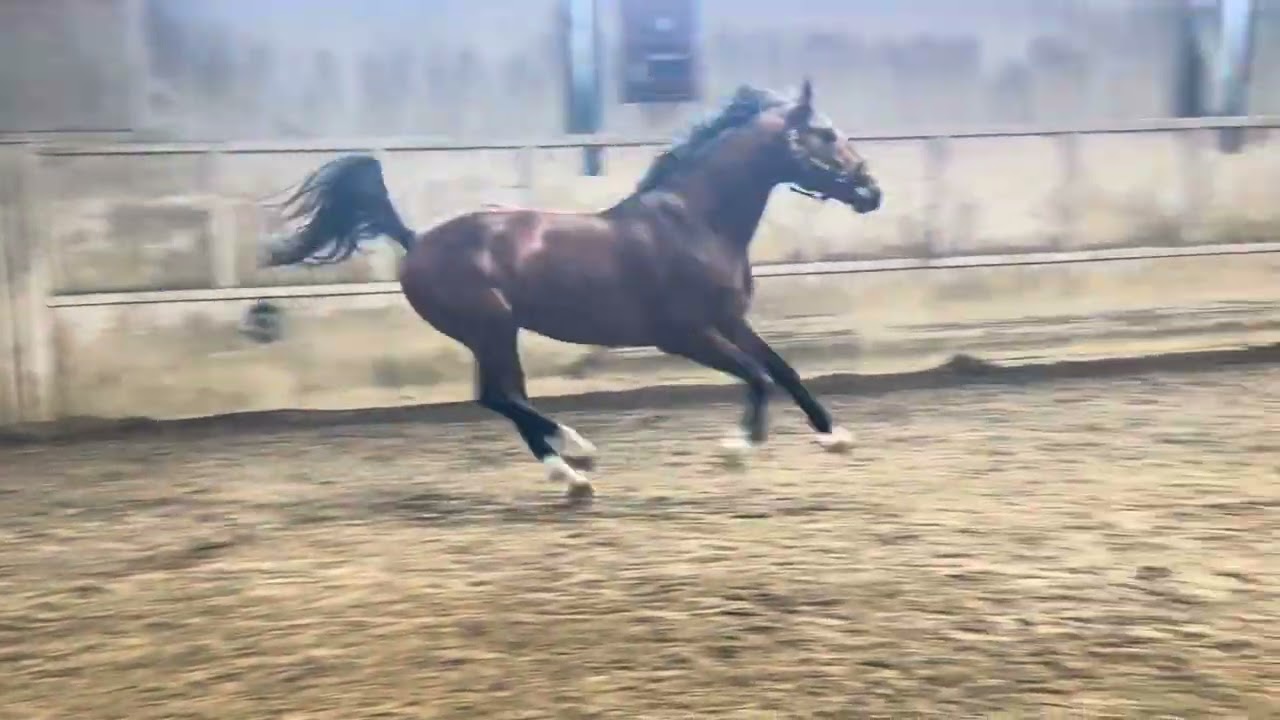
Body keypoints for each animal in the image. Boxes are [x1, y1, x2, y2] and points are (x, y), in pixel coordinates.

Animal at [261, 79, 882, 501]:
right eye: (825, 134)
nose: (871, 192)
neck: (694, 223)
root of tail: (416, 242)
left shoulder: (729, 321)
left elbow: (783, 369)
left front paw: (836, 437)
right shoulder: (683, 334)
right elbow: (756, 377)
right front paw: (737, 450)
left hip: (494, 332)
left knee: (501, 396)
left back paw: (572, 470)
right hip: (490, 328)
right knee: (498, 397)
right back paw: (577, 458)